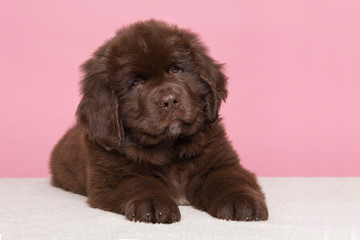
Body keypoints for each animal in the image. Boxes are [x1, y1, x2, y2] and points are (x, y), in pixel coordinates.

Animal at [51, 19, 270, 224]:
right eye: (136, 83)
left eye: (175, 69)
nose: (169, 100)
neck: (170, 148)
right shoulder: (112, 176)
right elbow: (141, 183)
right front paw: (153, 204)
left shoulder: (221, 160)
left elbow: (228, 178)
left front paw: (241, 202)